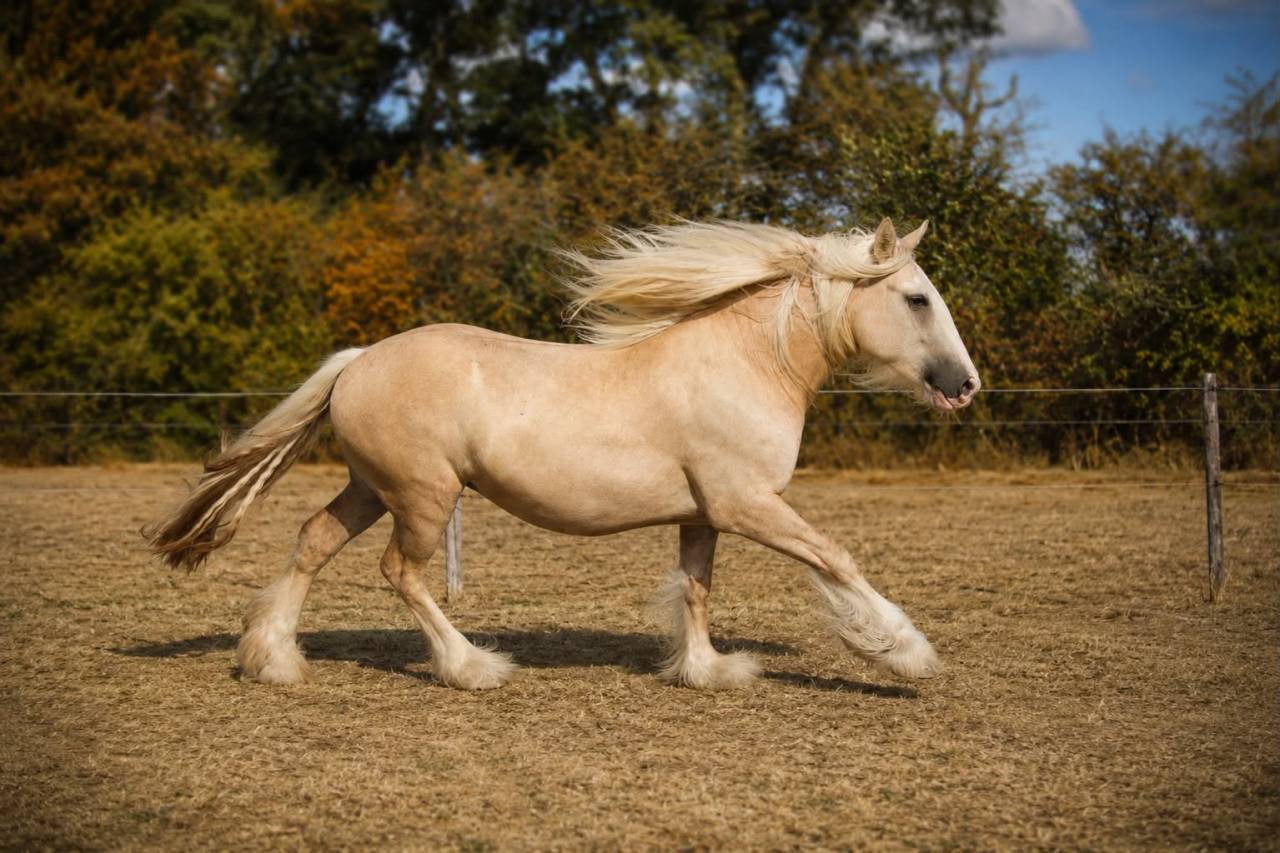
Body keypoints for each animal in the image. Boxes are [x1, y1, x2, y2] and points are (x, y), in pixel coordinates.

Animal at [147, 217, 980, 690]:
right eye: (916, 297)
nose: (965, 384)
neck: (748, 362)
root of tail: (357, 362)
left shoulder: (704, 512)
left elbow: (696, 589)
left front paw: (708, 671)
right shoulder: (749, 503)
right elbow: (836, 558)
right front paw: (905, 652)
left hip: (371, 488)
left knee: (311, 542)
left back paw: (273, 661)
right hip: (423, 496)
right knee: (400, 573)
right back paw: (473, 667)